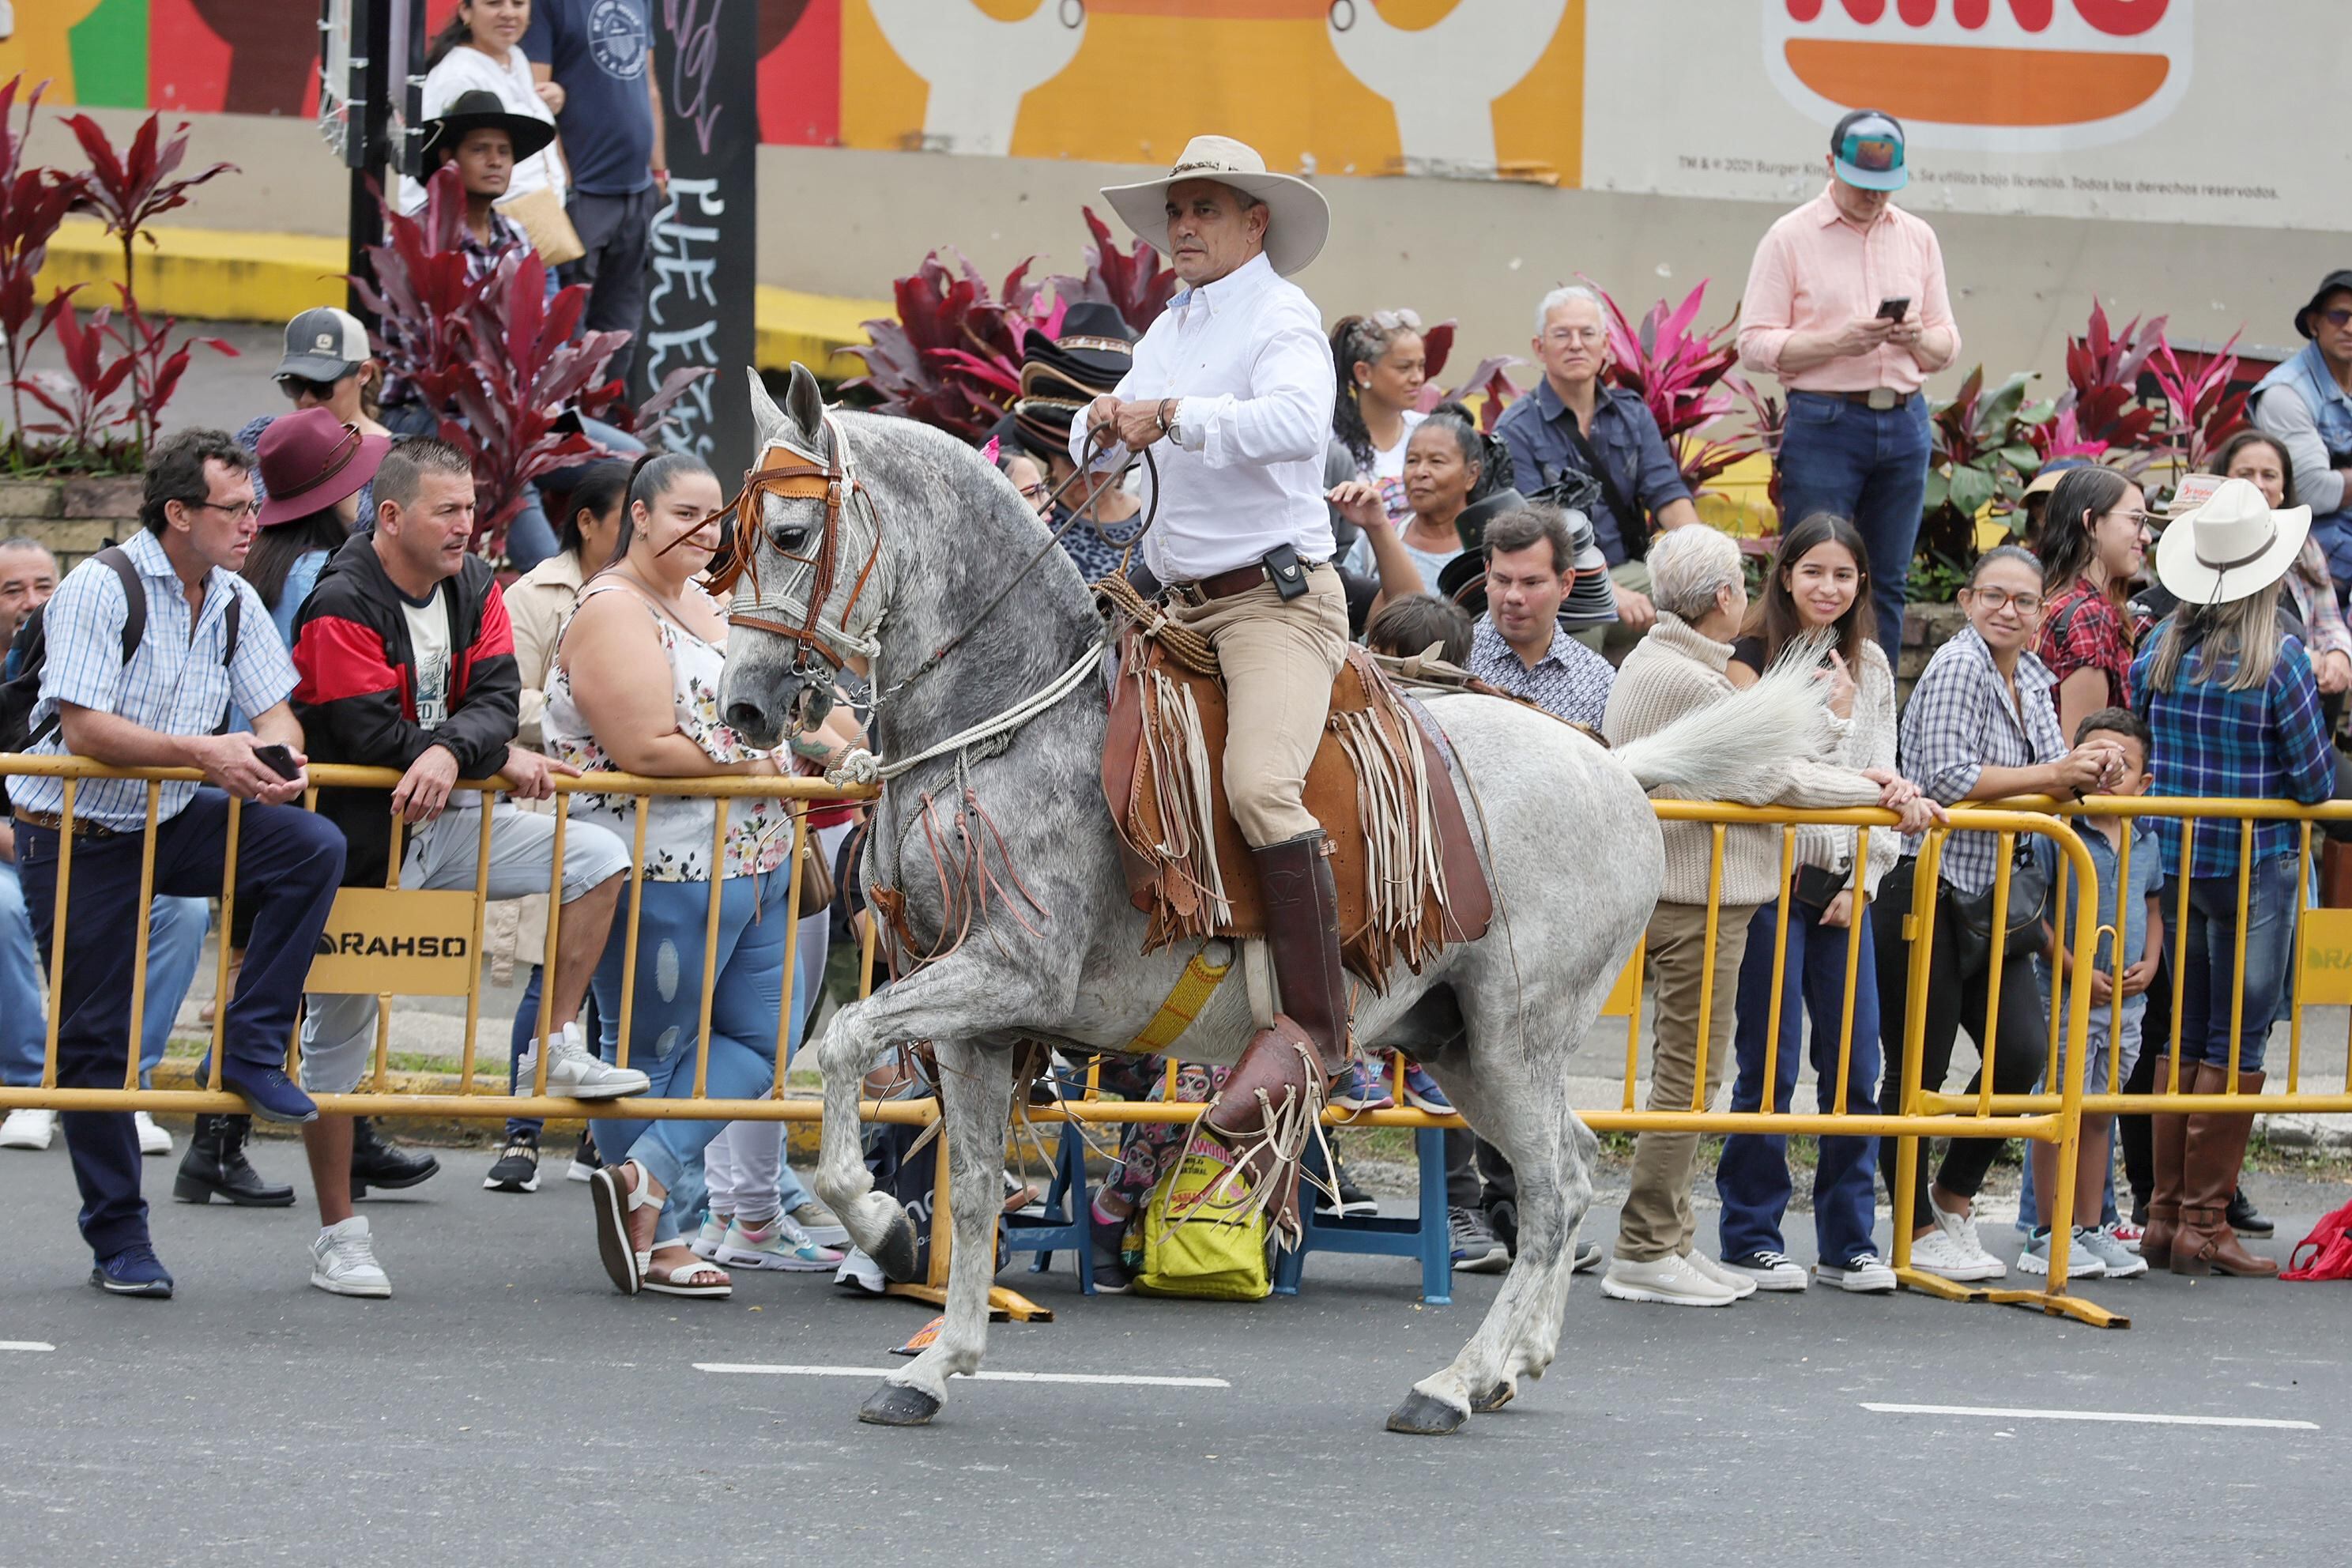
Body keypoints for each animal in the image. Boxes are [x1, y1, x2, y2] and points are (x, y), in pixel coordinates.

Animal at [717, 364, 1834, 1434]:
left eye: (790, 533)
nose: (743, 708)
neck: (1008, 718)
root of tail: (1619, 766)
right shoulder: (976, 1018)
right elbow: (978, 1187)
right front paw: (937, 1361)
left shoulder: (1007, 973)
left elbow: (847, 1041)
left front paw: (879, 1223)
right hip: (1462, 1044)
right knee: (1568, 1162)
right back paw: (1510, 1369)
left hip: (1519, 1034)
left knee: (1557, 1190)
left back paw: (1453, 1384)